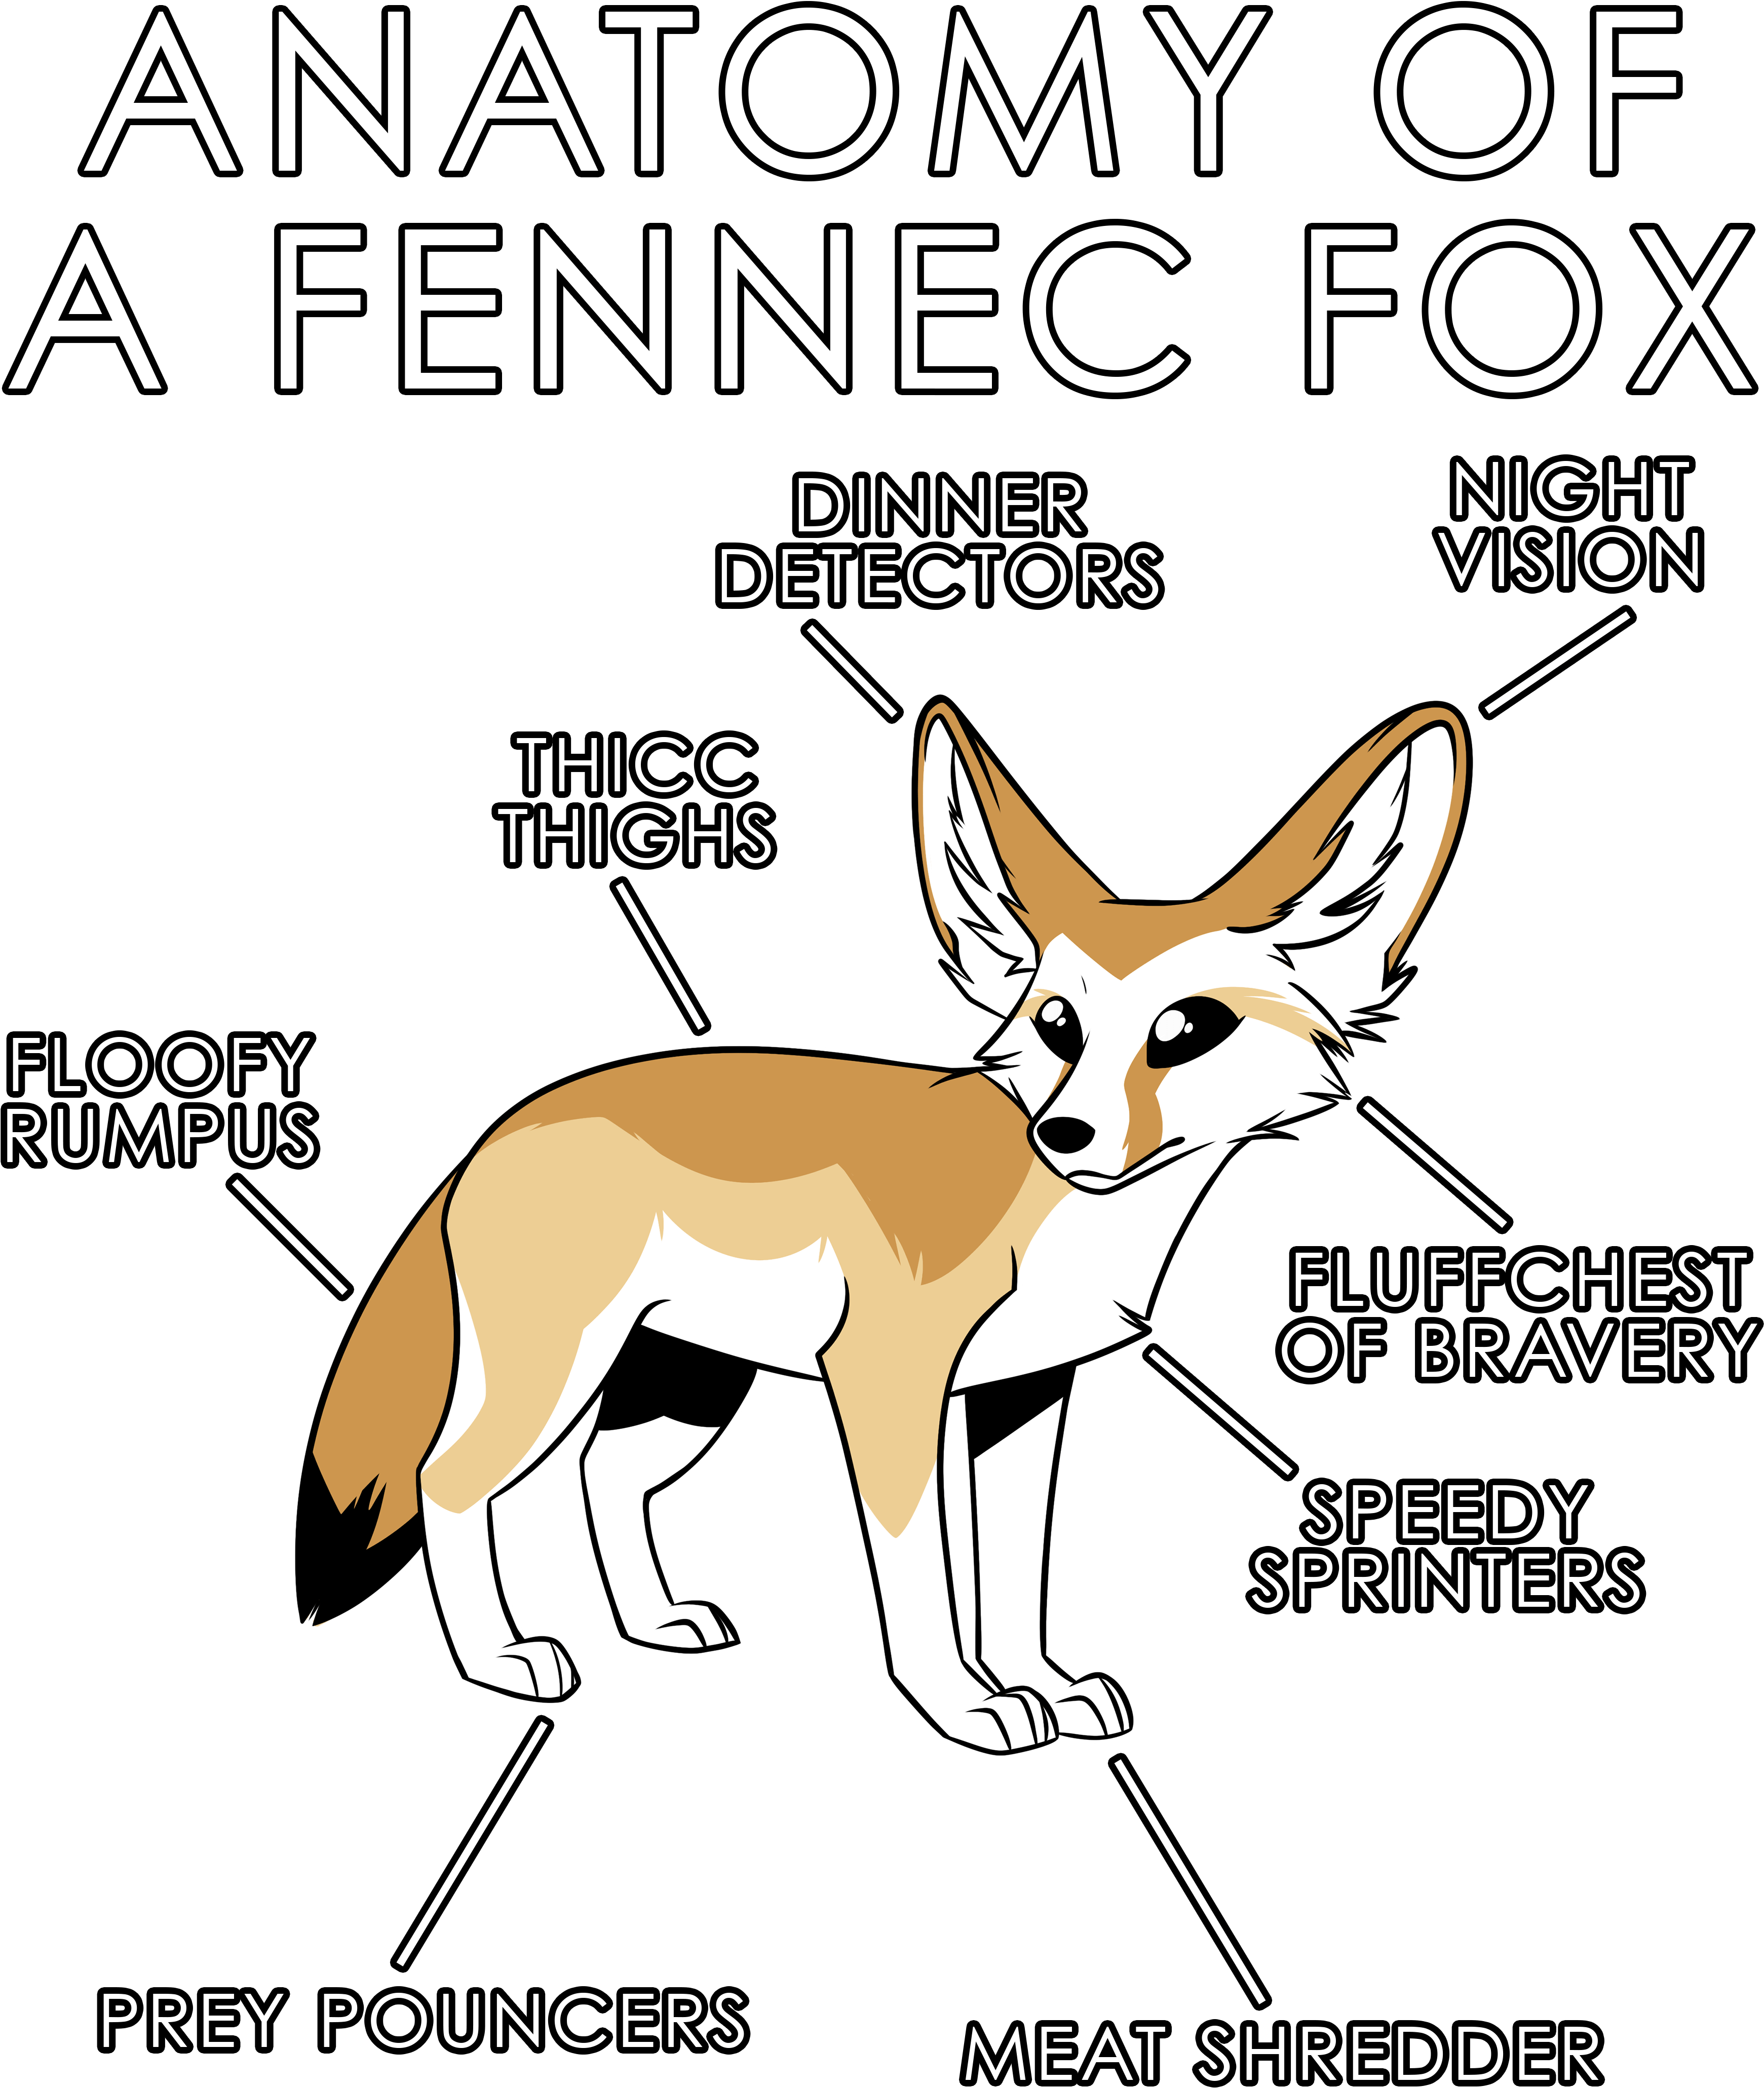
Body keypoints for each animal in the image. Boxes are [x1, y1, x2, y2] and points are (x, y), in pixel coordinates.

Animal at [293, 692, 1473, 1757]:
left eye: (1188, 1029)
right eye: (1058, 1024)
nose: (1065, 1133)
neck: (1075, 1223)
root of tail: (504, 1120)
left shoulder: (1028, 1392)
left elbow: (1014, 1570)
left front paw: (1045, 1686)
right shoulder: (883, 1380)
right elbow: (918, 1573)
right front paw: (962, 1704)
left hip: (692, 1385)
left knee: (605, 1474)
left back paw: (652, 1624)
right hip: (555, 1372)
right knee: (450, 1481)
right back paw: (499, 1660)